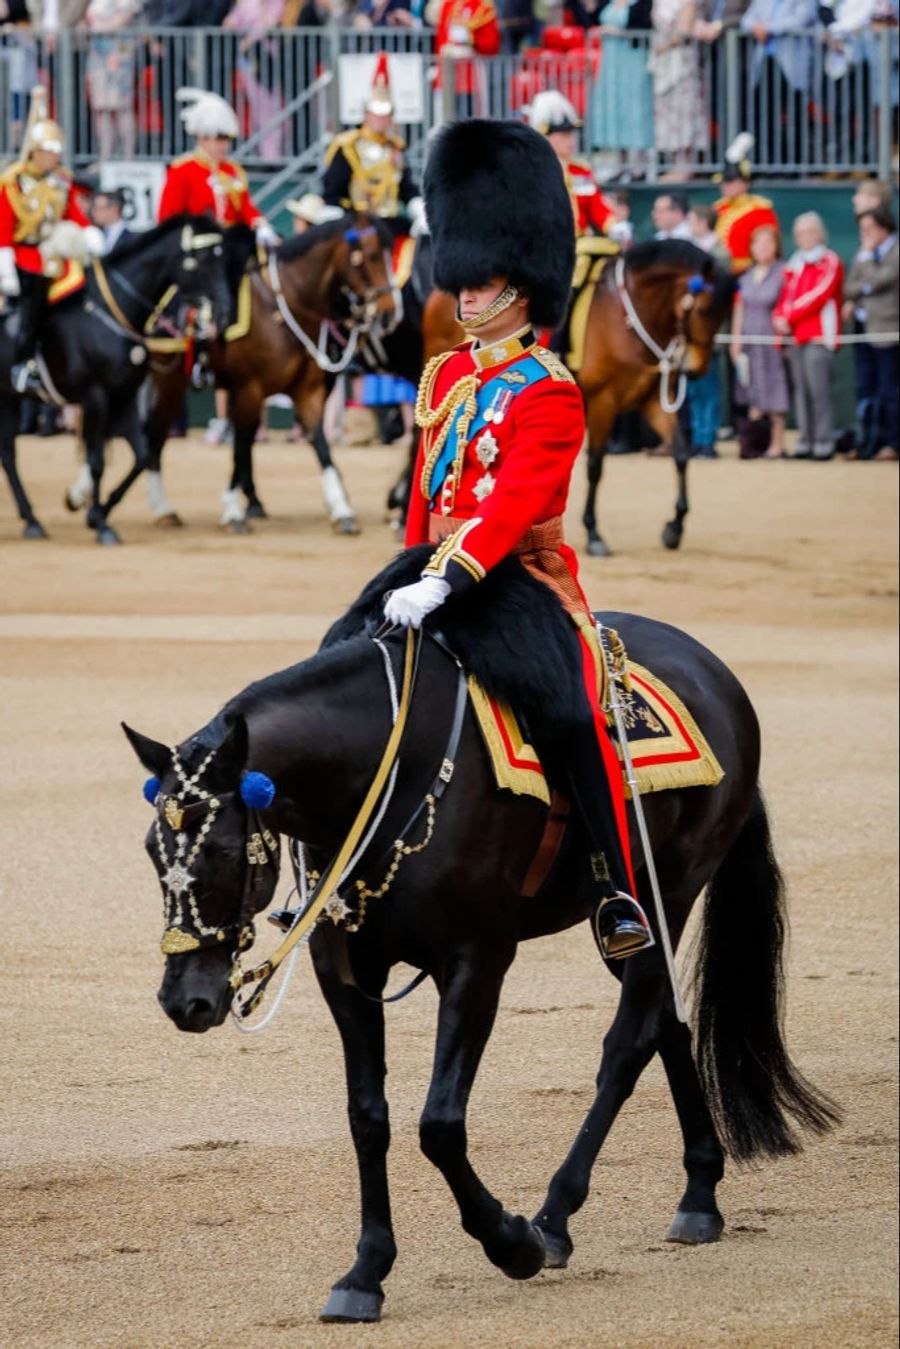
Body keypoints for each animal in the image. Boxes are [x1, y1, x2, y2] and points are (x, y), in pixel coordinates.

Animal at [0, 215, 225, 542]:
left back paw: (31, 520)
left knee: (8, 456)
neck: (114, 314)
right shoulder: (96, 397)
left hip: (10, 400)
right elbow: (97, 461)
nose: (221, 314)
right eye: (203, 259)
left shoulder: (124, 396)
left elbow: (143, 455)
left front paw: (99, 513)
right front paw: (102, 524)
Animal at [121, 550, 836, 1327]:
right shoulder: (344, 966)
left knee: (627, 1046)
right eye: (153, 851)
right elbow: (367, 1116)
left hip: (663, 896)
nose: (184, 999)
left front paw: (510, 1241)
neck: (384, 769)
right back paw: (699, 1194)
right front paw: (366, 1271)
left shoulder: (477, 960)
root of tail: (716, 673)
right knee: (666, 1025)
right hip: (625, 926)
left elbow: (439, 1123)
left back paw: (554, 1218)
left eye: (223, 850)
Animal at [138, 210, 399, 531]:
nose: (389, 314)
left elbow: (320, 444)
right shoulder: (250, 388)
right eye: (372, 255)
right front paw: (232, 510)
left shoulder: (307, 392)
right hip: (170, 382)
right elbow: (241, 447)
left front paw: (341, 508)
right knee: (157, 435)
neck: (284, 304)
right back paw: (163, 507)